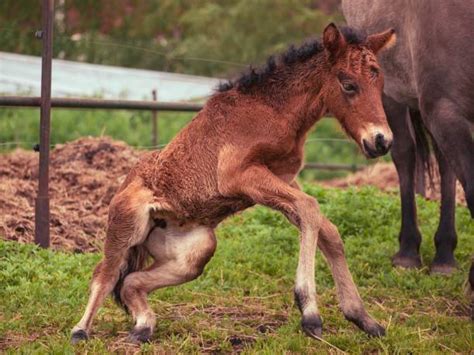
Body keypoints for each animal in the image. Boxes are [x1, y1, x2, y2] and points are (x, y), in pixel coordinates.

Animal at [70, 23, 396, 344]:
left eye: (380, 84)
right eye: (348, 84)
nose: (381, 141)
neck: (270, 111)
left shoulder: (283, 179)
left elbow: (325, 229)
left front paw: (363, 317)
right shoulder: (240, 176)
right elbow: (310, 208)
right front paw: (310, 314)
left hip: (195, 253)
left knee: (130, 282)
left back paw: (142, 328)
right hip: (127, 226)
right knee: (106, 274)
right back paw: (80, 331)